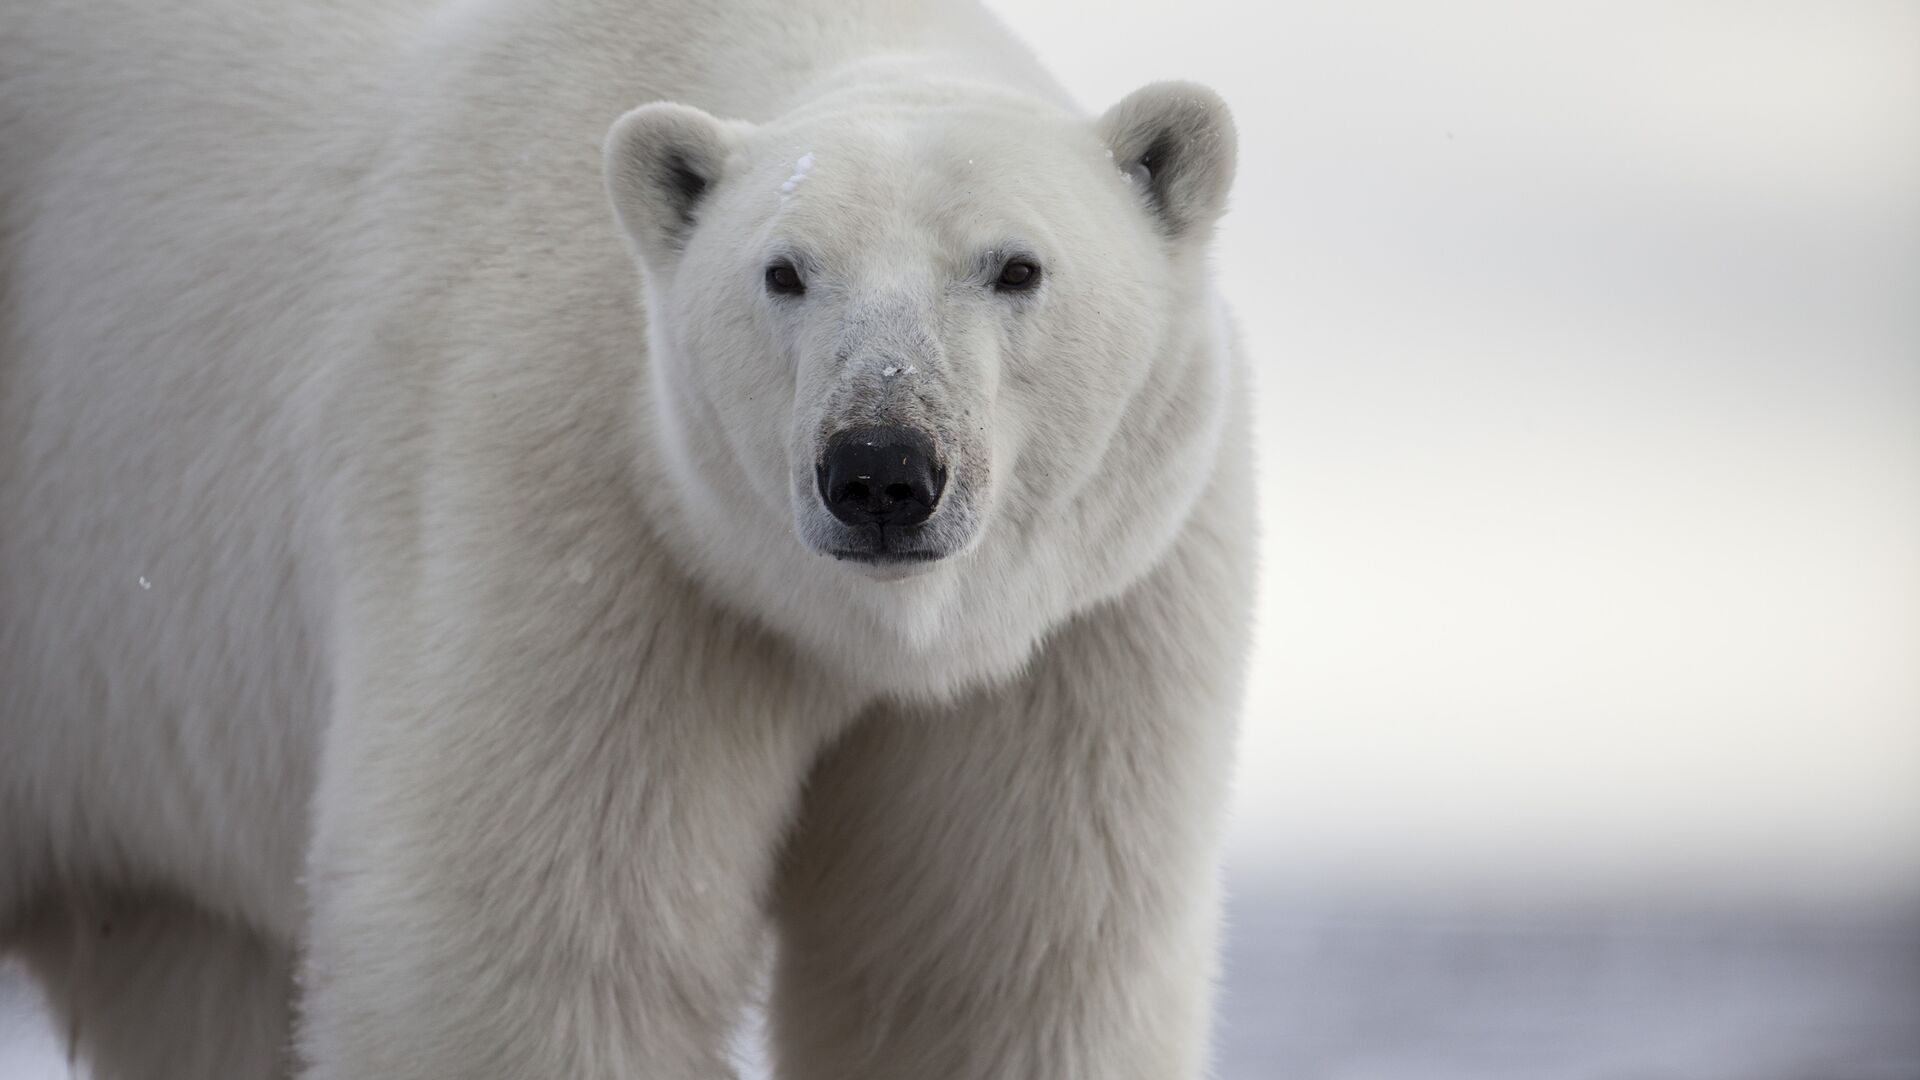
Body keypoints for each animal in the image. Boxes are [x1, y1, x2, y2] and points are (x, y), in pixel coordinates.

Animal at [0, 0, 1251, 1076]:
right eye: (784, 271)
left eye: (1015, 265)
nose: (881, 470)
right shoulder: (583, 522)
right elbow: (538, 953)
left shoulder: (1087, 630)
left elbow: (1001, 971)